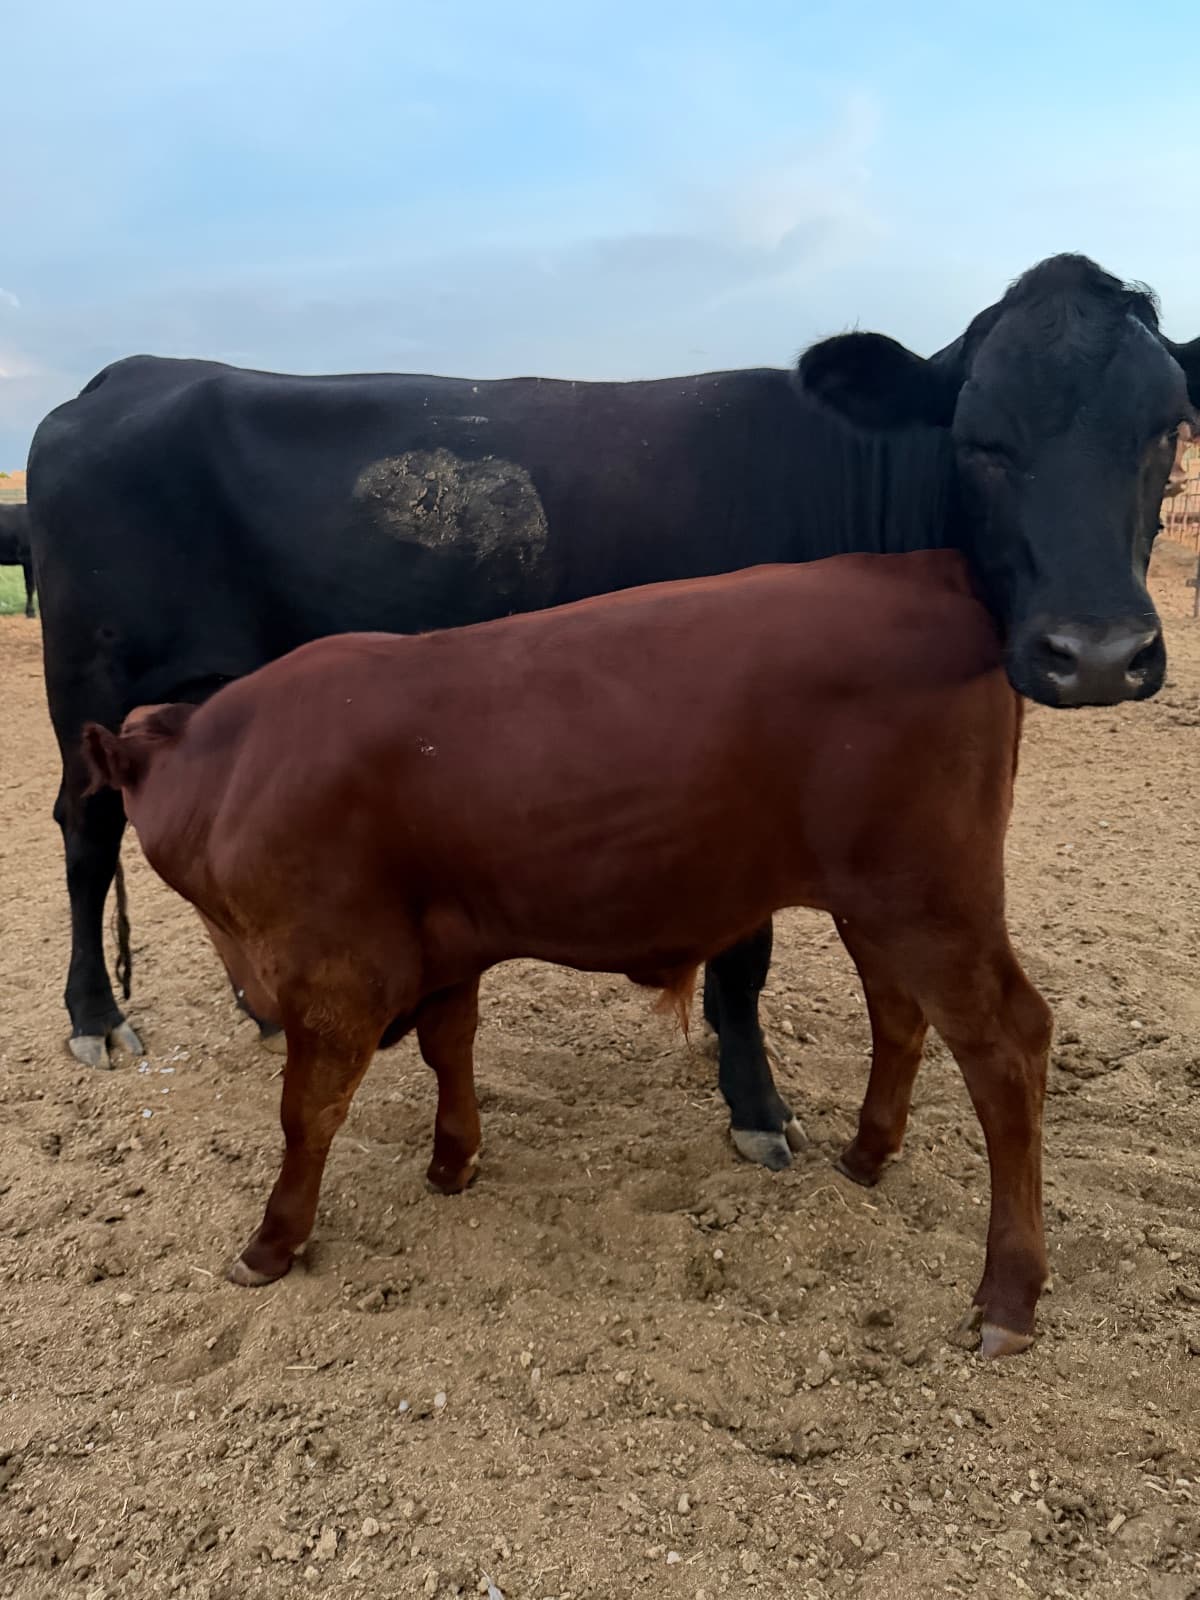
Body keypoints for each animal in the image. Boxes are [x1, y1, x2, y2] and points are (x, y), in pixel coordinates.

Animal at [29, 252, 1200, 1173]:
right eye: (980, 440)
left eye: (1166, 432)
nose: (1097, 653)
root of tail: (124, 376)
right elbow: (745, 951)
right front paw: (756, 1105)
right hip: (87, 675)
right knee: (88, 832)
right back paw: (96, 1017)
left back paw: (256, 1007)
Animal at [84, 549, 1049, 1357]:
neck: (235, 769)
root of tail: (928, 571)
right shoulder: (443, 957)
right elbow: (450, 1049)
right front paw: (453, 1161)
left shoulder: (335, 979)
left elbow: (307, 1115)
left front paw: (273, 1241)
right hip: (880, 909)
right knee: (900, 1015)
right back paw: (867, 1154)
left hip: (932, 905)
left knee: (1007, 1049)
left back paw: (1007, 1297)